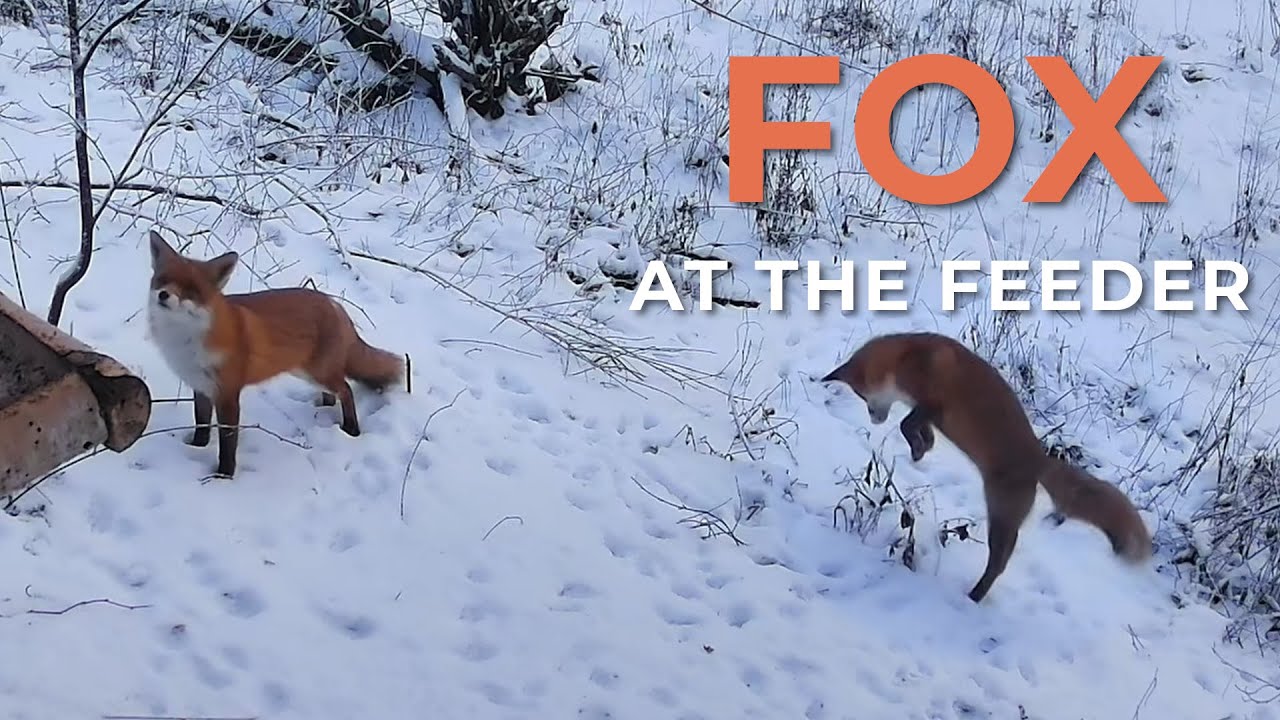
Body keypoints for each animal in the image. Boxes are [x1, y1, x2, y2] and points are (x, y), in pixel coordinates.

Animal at [145, 230, 404, 478]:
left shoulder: (227, 394)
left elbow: (228, 443)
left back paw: (352, 430)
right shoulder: (201, 387)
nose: (163, 295)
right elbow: (201, 424)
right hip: (307, 372)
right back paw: (323, 409)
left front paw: (224, 475)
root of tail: (333, 303)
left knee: (346, 390)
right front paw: (197, 447)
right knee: (335, 393)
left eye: (191, 290)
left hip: (317, 372)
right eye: (163, 280)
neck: (186, 339)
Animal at [820, 331, 1151, 603]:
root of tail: (1039, 459)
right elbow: (919, 430)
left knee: (999, 562)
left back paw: (974, 597)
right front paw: (921, 448)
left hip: (1001, 517)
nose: (874, 420)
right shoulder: (929, 412)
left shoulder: (936, 404)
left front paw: (917, 448)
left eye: (863, 396)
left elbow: (906, 424)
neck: (907, 358)